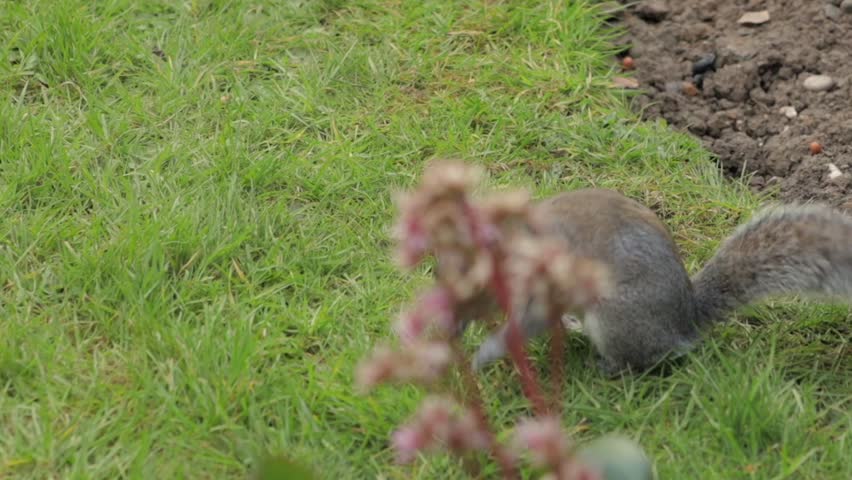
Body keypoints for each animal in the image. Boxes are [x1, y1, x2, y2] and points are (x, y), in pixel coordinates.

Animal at [469, 188, 852, 376]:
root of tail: (684, 324)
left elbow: (526, 324)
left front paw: (485, 353)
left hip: (618, 320)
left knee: (637, 361)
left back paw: (604, 368)